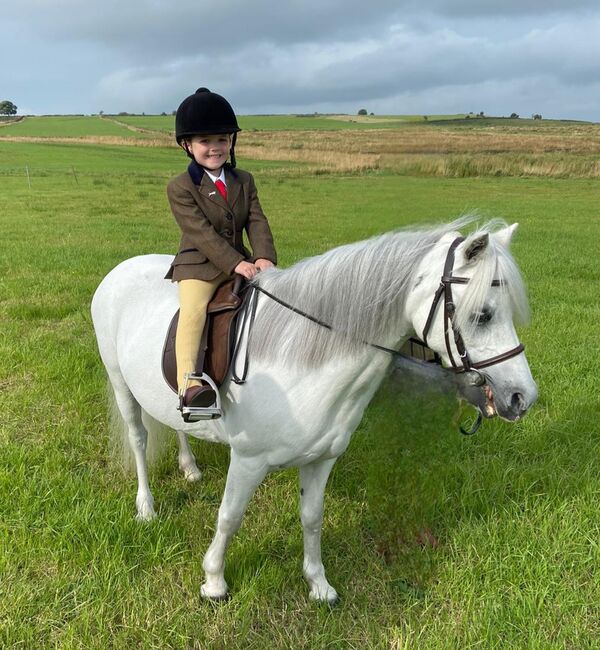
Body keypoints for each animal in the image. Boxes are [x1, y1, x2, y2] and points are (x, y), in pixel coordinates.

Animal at [91, 219, 536, 604]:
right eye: (482, 314)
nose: (522, 397)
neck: (301, 359)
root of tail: (122, 269)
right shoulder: (248, 460)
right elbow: (230, 517)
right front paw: (214, 582)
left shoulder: (321, 459)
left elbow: (312, 518)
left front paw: (318, 585)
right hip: (119, 382)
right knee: (138, 438)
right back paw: (146, 507)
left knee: (178, 424)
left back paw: (190, 469)